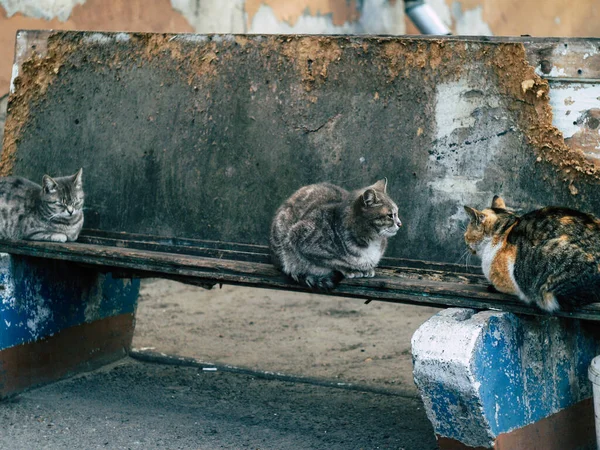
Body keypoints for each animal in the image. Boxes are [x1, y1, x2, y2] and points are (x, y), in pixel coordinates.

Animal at [270, 180, 400, 292]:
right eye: (390, 215)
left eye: (397, 213)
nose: (400, 223)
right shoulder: (299, 239)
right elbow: (334, 262)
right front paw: (350, 269)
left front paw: (367, 269)